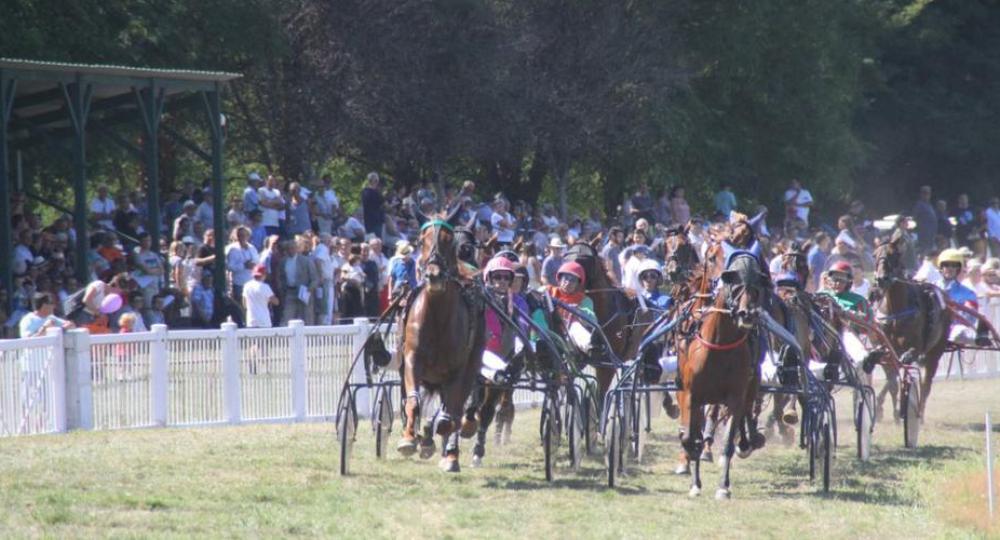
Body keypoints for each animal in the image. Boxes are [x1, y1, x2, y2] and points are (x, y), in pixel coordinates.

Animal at [394, 205, 484, 470]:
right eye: (420, 240)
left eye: (447, 240)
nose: (433, 275)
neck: (436, 315)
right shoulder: (412, 359)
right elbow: (413, 401)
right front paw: (409, 439)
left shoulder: (458, 368)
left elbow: (450, 415)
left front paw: (442, 440)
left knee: (456, 410)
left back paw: (451, 453)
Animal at [680, 249, 764, 498]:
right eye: (735, 286)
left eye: (756, 288)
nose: (747, 314)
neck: (719, 345)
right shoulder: (691, 395)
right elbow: (690, 438)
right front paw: (695, 483)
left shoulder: (736, 396)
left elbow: (728, 441)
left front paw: (723, 487)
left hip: (749, 387)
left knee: (746, 414)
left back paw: (747, 441)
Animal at [872, 237, 948, 422]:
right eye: (874, 255)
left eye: (894, 255)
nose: (881, 279)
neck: (896, 311)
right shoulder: (886, 349)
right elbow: (892, 381)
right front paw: (892, 413)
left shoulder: (914, 348)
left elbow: (906, 364)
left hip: (936, 351)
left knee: (926, 383)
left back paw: (920, 414)